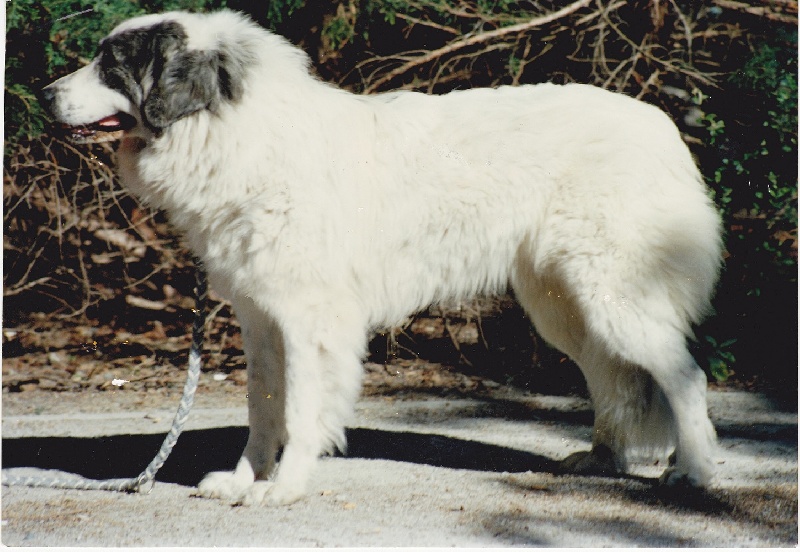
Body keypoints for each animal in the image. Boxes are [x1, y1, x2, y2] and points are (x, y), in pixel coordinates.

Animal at [40, 10, 720, 506]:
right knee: (612, 377)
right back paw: (602, 458)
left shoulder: (309, 320)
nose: (43, 94)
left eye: (112, 63)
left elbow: (301, 409)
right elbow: (263, 407)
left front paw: (283, 489)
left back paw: (696, 473)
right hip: (565, 307)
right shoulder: (260, 318)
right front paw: (244, 480)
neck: (235, 135)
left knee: (683, 375)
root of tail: (659, 125)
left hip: (612, 293)